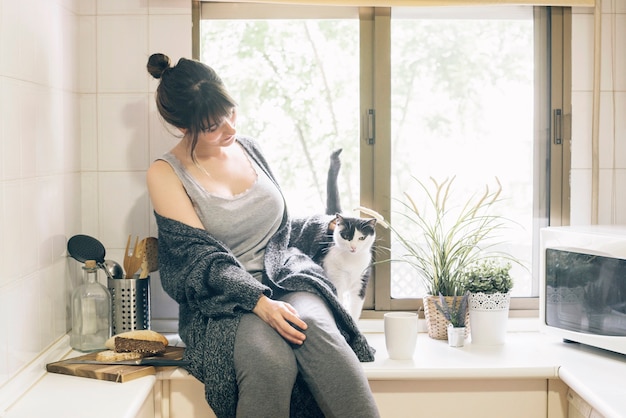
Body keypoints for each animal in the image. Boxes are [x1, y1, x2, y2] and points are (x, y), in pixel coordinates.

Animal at [322, 149, 376, 322]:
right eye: (346, 236)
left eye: (362, 238)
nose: (353, 247)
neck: (351, 262)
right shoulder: (335, 282)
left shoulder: (360, 283)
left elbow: (355, 310)